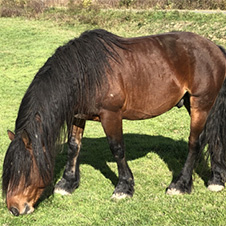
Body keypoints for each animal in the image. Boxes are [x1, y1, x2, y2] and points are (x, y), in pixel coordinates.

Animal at [1, 29, 226, 216]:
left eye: (24, 171)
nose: (14, 208)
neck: (85, 73)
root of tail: (214, 48)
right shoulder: (78, 116)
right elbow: (74, 147)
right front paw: (67, 183)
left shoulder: (111, 115)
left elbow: (117, 149)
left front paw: (124, 188)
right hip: (197, 104)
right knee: (213, 137)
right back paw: (216, 179)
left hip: (201, 103)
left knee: (195, 142)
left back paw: (181, 185)